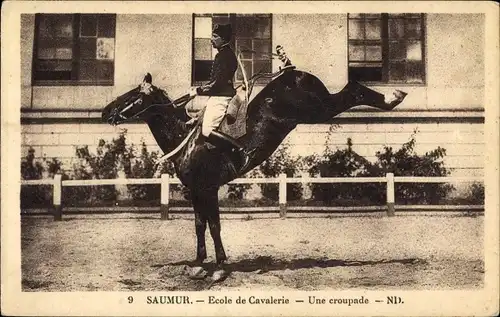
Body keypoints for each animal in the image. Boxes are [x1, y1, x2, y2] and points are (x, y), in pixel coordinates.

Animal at [101, 66, 406, 278]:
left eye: (132, 96)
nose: (105, 112)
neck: (187, 139)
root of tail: (293, 73)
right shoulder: (196, 191)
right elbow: (199, 225)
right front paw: (198, 264)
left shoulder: (208, 189)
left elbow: (214, 226)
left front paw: (220, 267)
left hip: (319, 110)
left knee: (353, 90)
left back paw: (393, 97)